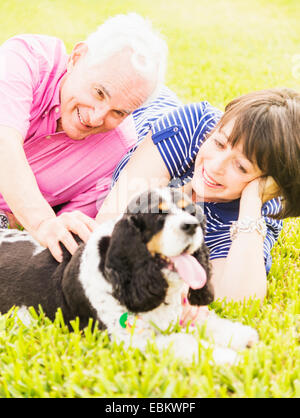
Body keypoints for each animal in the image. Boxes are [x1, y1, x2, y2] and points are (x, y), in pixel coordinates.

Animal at [0, 189, 258, 362]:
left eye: (191, 211)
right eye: (158, 216)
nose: (192, 225)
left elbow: (207, 322)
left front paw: (241, 335)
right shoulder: (128, 339)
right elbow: (183, 342)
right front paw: (226, 357)